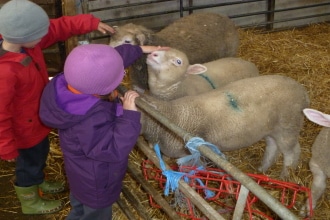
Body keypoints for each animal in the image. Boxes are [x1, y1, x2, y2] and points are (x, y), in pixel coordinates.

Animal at [139, 75, 310, 178]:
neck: (171, 115)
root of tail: (302, 91)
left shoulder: (186, 153)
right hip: (271, 129)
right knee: (273, 146)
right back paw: (262, 168)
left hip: (287, 126)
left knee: (291, 152)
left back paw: (285, 174)